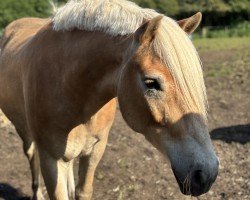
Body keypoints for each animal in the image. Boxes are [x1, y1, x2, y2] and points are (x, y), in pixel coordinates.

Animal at [0, 0, 218, 200]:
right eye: (151, 82)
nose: (207, 174)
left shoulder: (95, 149)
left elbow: (82, 191)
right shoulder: (50, 158)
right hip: (25, 132)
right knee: (31, 156)